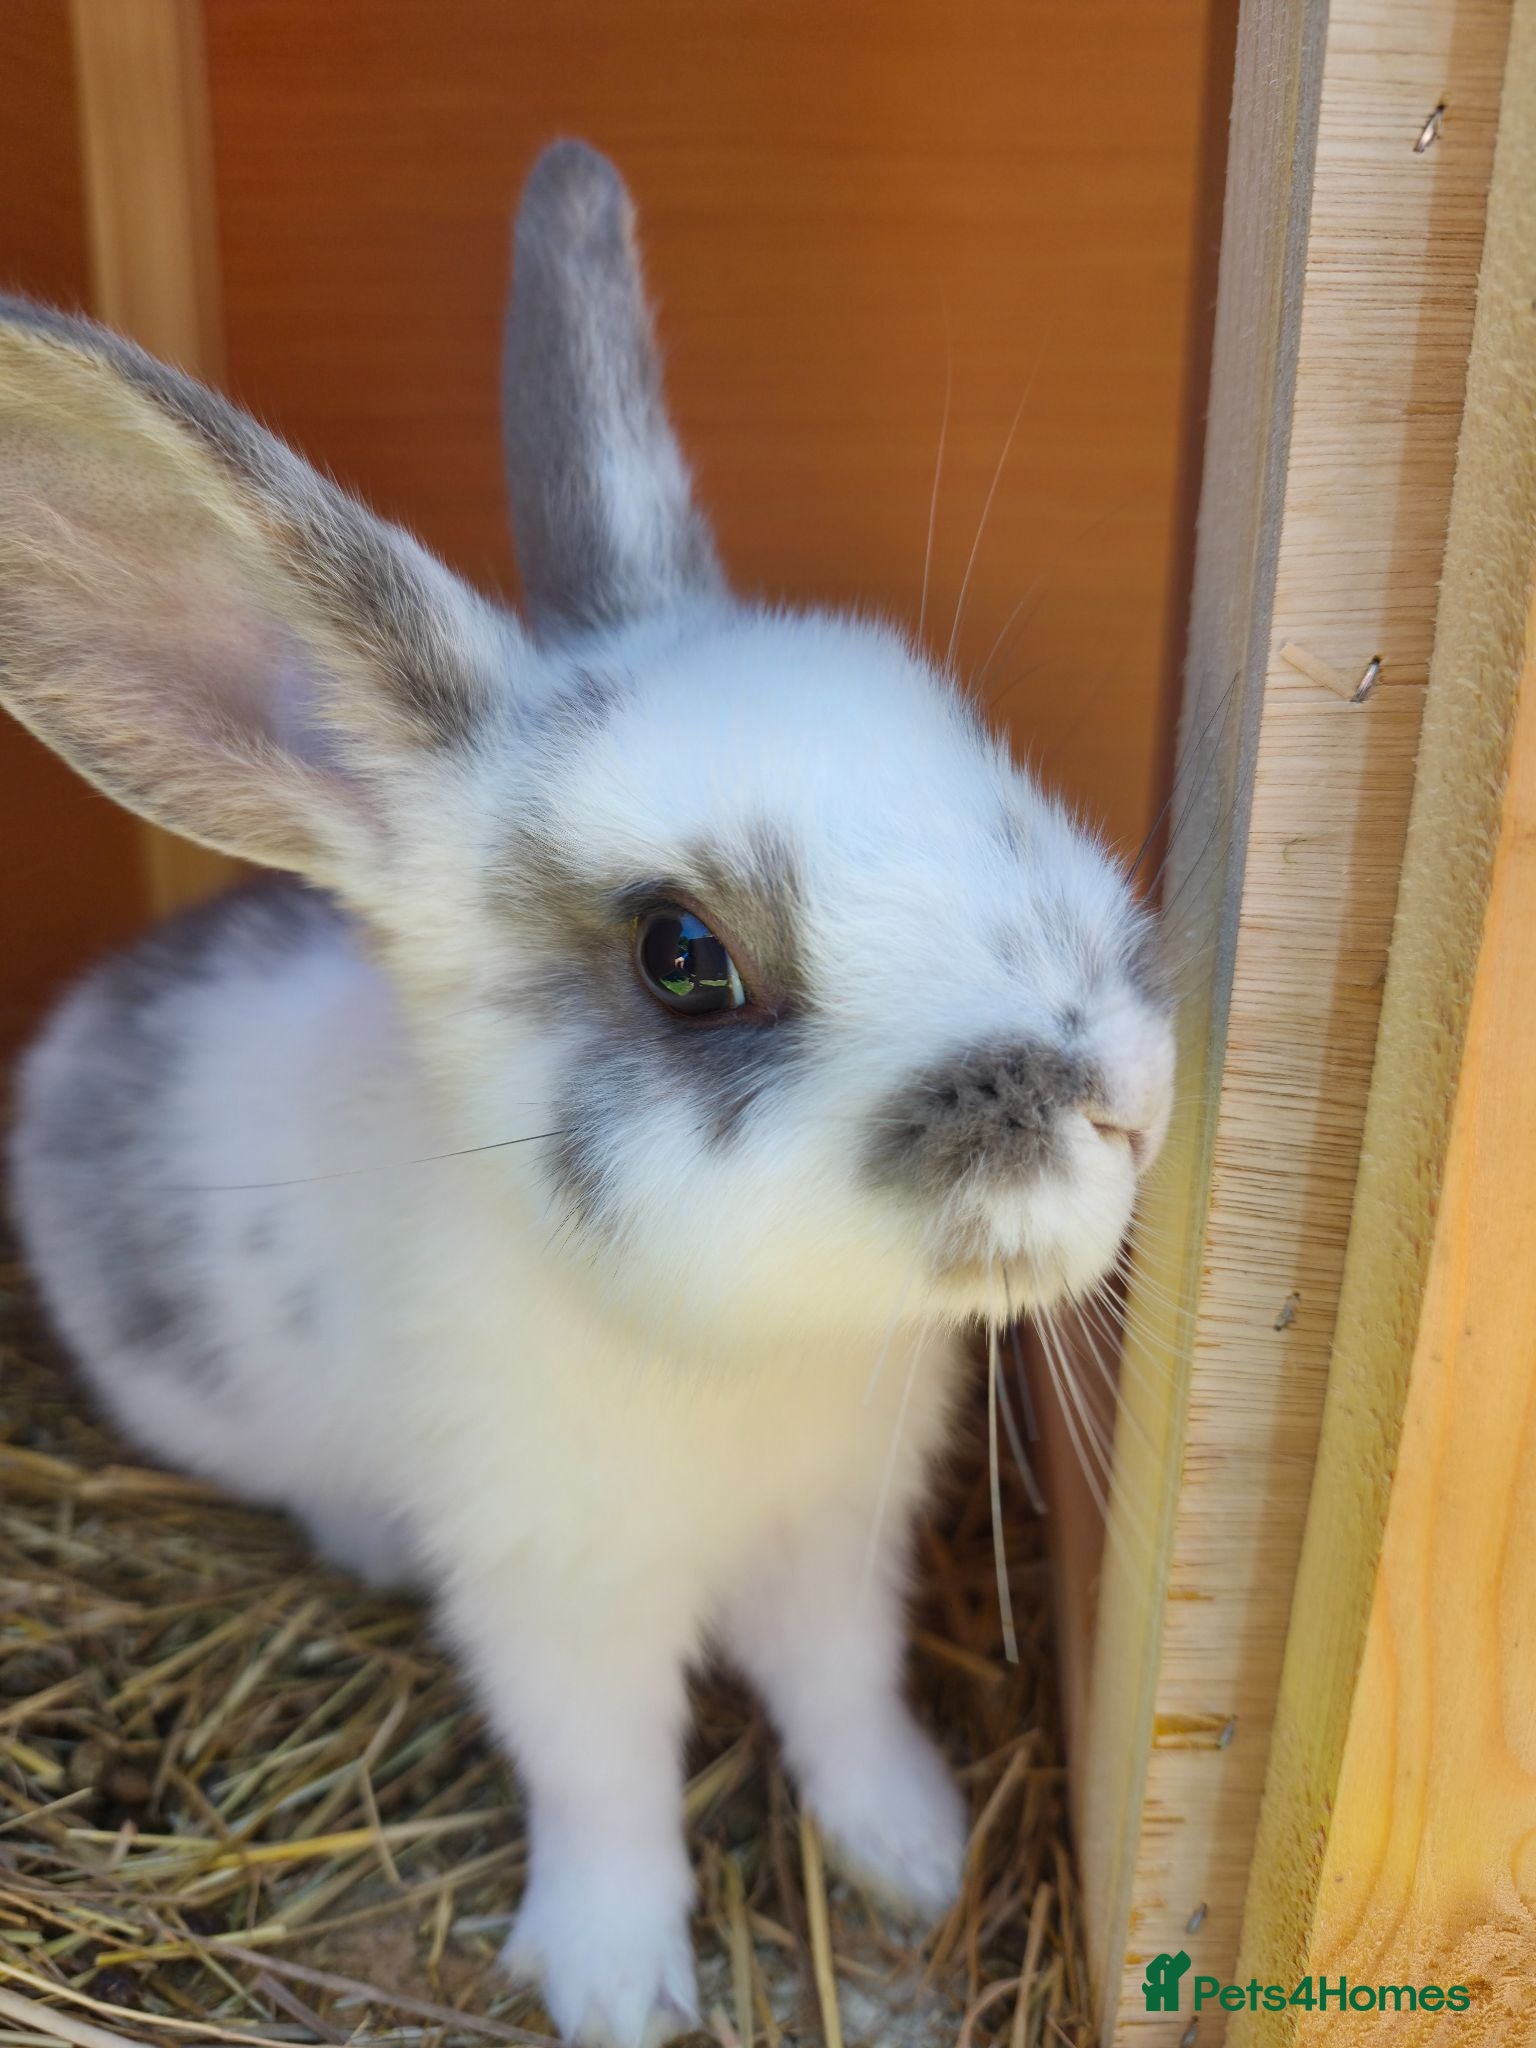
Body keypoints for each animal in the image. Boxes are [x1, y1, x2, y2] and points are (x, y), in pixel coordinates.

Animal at [0, 140, 1173, 2048]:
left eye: (962, 739)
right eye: (684, 957)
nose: (1134, 1095)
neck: (756, 1358)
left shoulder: (836, 1546)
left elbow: (845, 1699)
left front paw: (911, 1854)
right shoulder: (558, 1599)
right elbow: (608, 1779)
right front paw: (620, 1981)